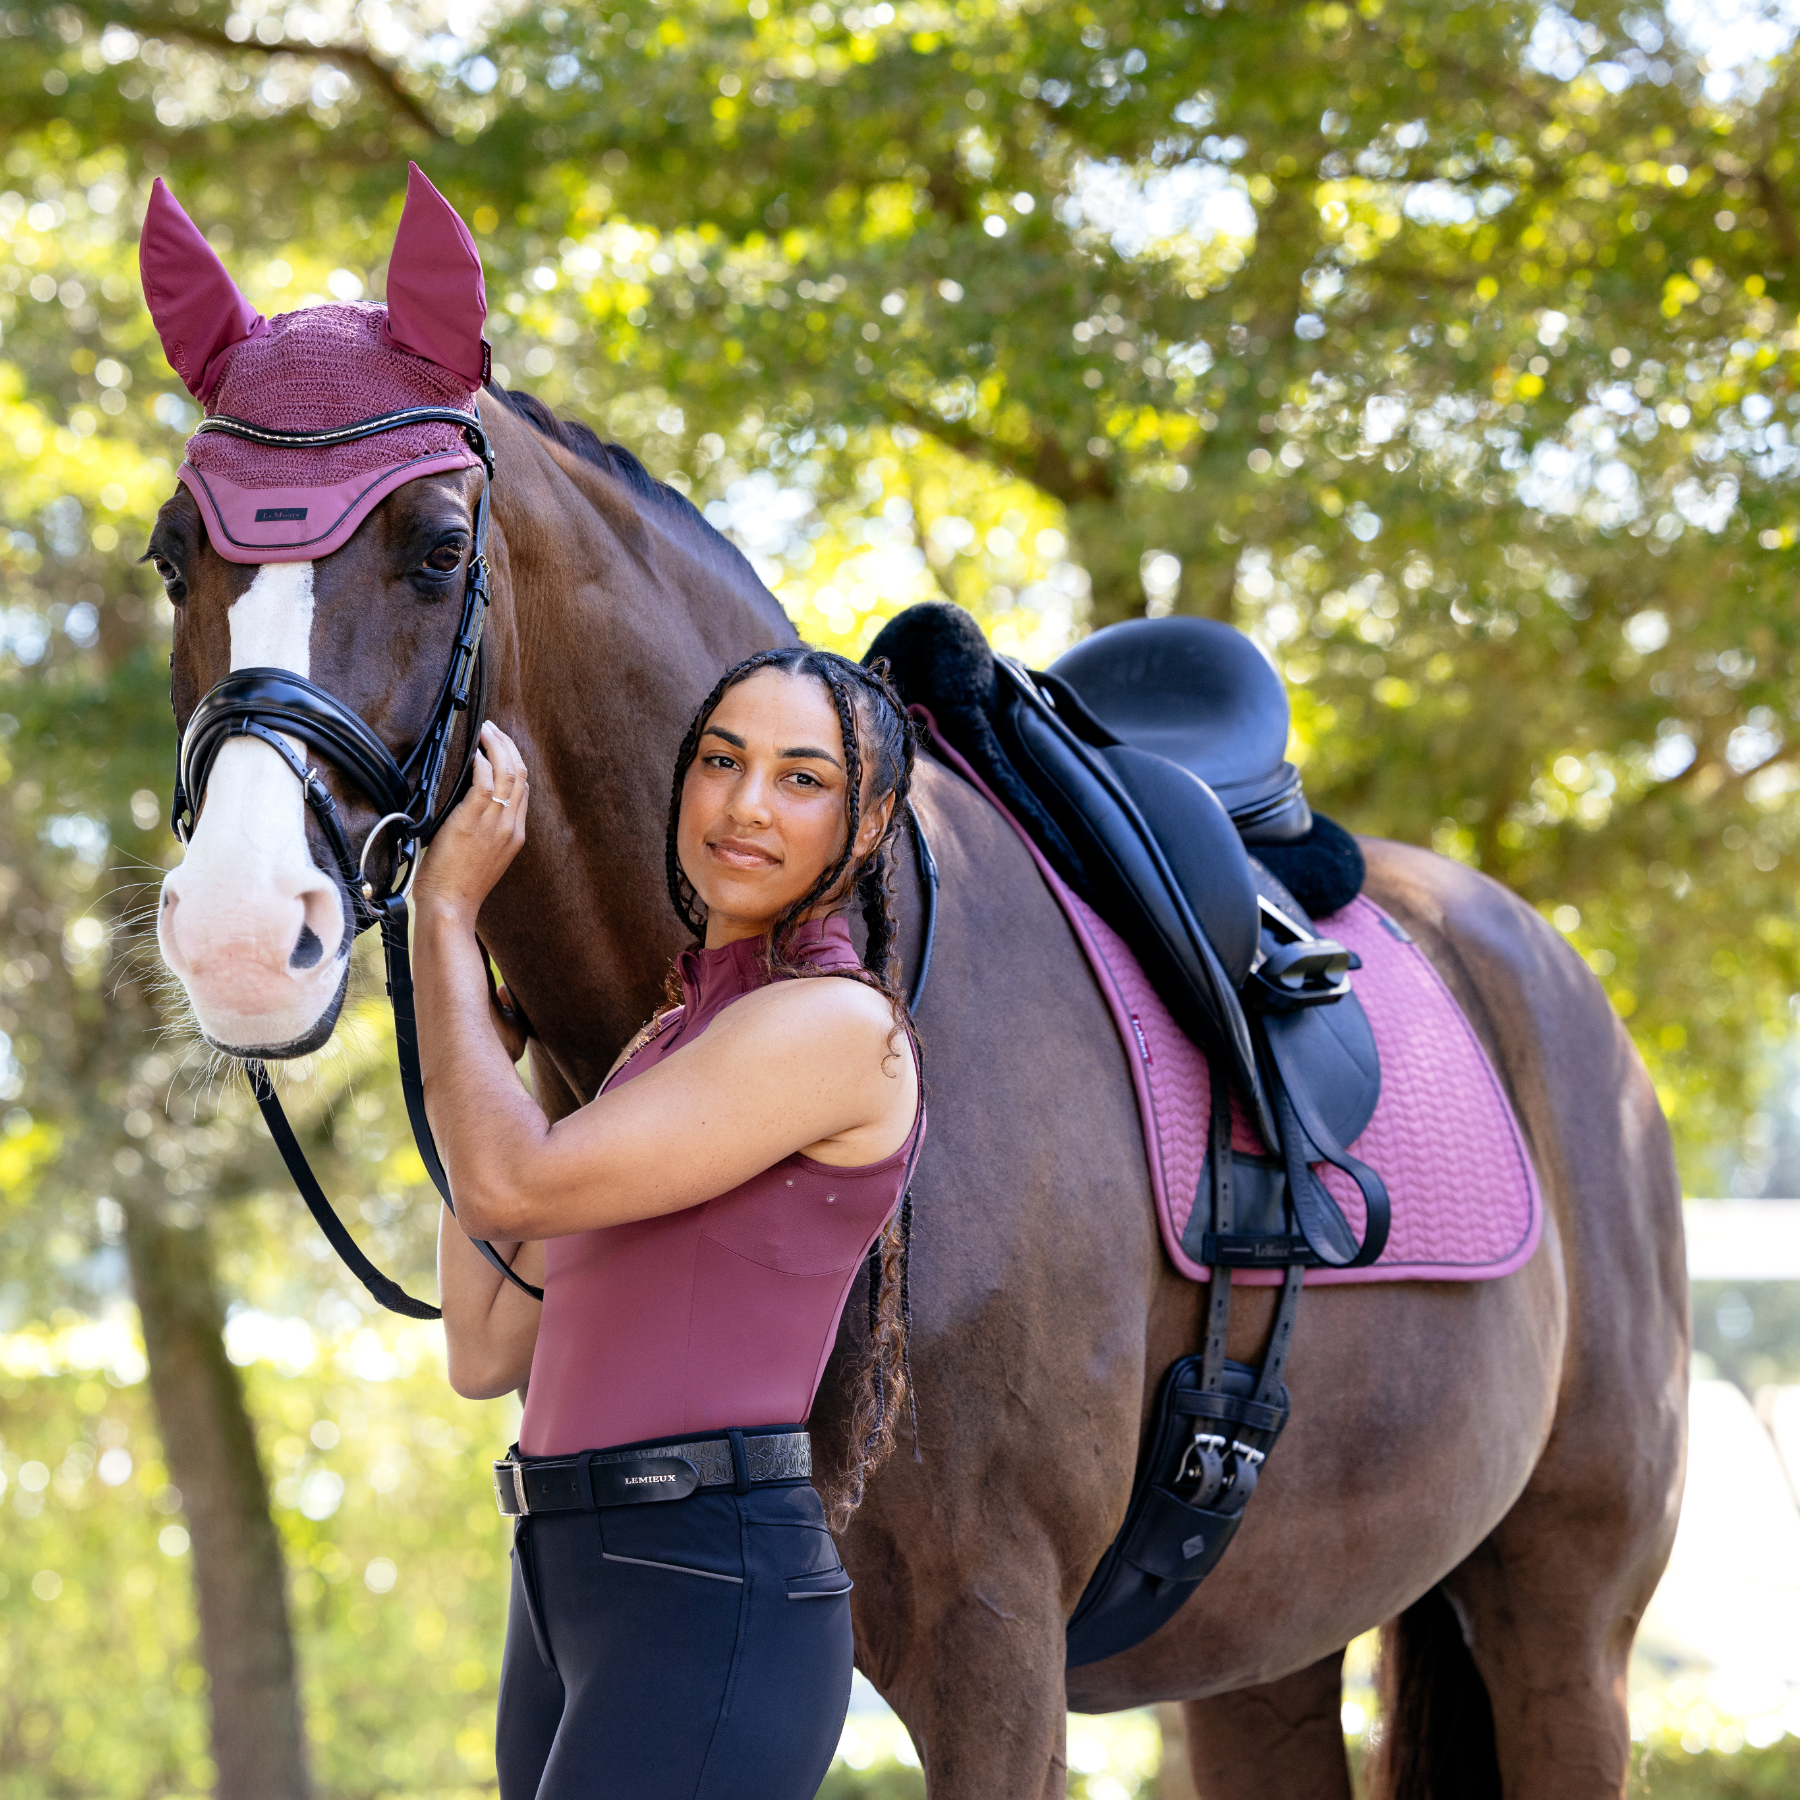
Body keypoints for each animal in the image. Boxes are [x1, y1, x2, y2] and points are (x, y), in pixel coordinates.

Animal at [151, 387, 1684, 1792]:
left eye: (439, 547)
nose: (237, 932)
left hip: (1566, 1624)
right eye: (175, 557)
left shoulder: (991, 1647)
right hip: (1269, 1651)